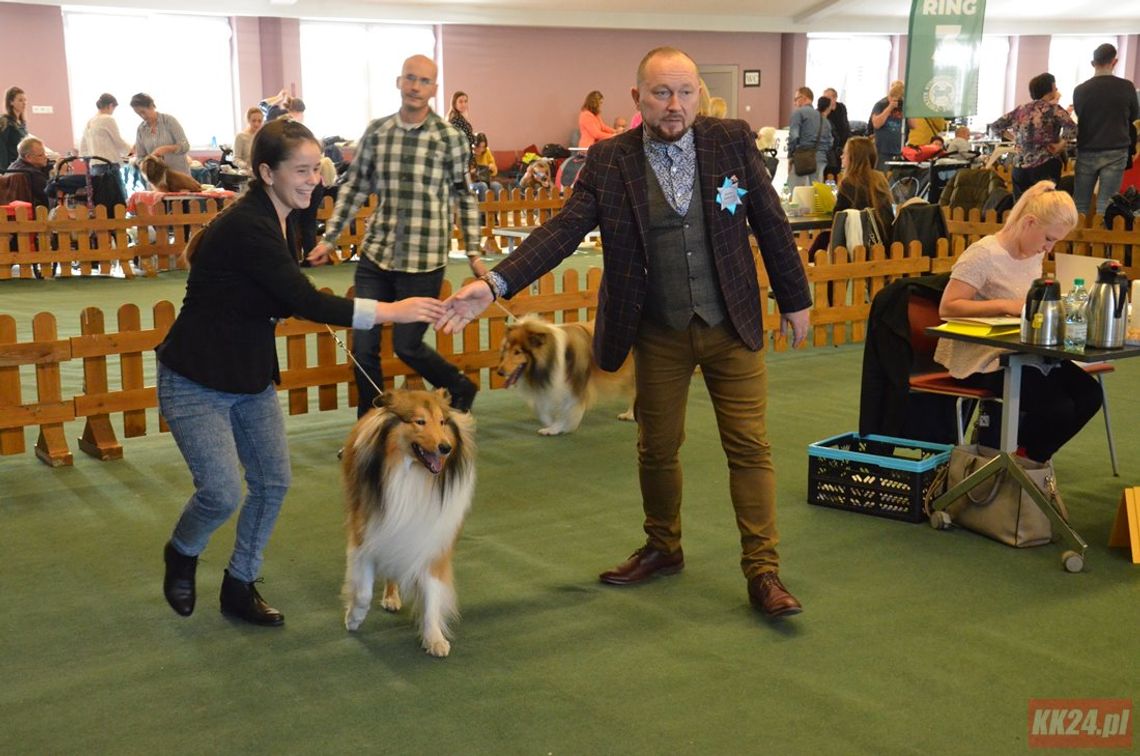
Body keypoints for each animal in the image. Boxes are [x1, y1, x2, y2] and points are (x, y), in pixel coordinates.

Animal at [342, 389, 476, 656]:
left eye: (442, 422)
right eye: (420, 421)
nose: (445, 448)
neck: (412, 475)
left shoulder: (430, 540)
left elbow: (432, 593)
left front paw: (434, 637)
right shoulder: (367, 535)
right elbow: (362, 590)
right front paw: (353, 618)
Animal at [494, 312, 638, 435]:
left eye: (517, 352)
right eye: (506, 349)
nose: (499, 372)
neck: (551, 356)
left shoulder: (573, 387)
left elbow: (566, 410)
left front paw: (556, 428)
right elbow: (540, 408)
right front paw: (550, 423)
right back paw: (630, 414)